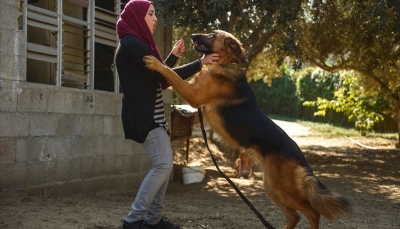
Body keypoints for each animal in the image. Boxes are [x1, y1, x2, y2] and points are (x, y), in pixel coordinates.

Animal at [143, 29, 350, 228]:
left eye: (212, 34)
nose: (193, 35)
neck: (226, 65)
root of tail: (299, 156)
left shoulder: (194, 96)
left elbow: (172, 74)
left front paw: (156, 63)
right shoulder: (196, 104)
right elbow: (175, 77)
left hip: (282, 188)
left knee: (313, 213)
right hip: (272, 187)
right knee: (294, 216)